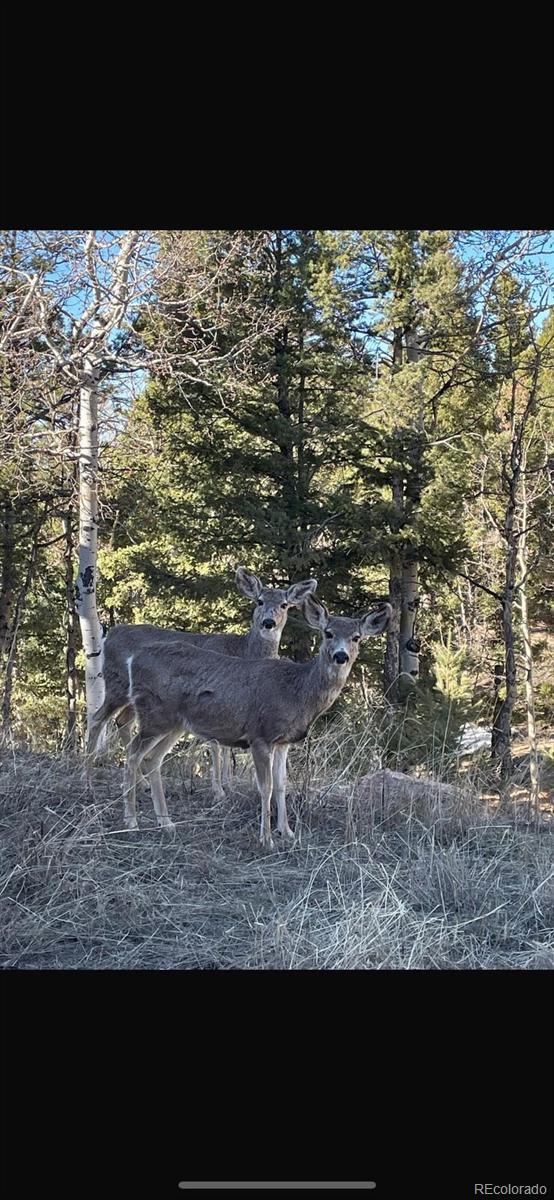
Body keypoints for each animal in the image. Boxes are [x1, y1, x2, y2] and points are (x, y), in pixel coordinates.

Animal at [85, 566, 316, 801]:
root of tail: (109, 636)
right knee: (97, 719)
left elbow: (226, 746)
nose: (268, 622)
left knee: (122, 721)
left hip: (138, 698)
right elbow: (215, 744)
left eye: (284, 604)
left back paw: (142, 783)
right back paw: (88, 781)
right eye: (259, 601)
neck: (243, 650)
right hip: (116, 684)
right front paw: (219, 790)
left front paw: (229, 784)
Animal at [87, 592, 388, 844]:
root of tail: (135, 658)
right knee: (132, 752)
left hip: (174, 723)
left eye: (357, 637)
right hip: (154, 713)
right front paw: (266, 839)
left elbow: (282, 785)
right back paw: (131, 821)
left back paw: (166, 823)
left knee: (151, 758)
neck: (297, 691)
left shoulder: (284, 742)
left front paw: (287, 832)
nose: (340, 656)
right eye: (328, 633)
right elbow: (265, 787)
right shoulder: (260, 734)